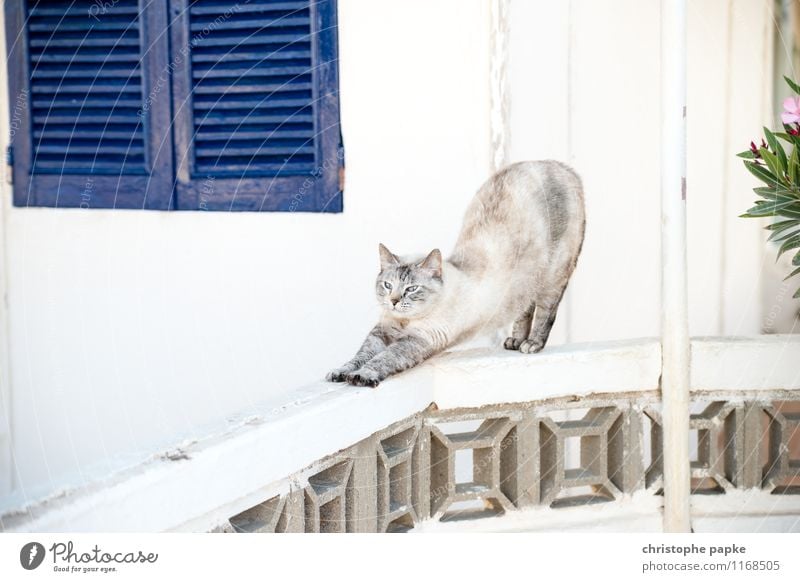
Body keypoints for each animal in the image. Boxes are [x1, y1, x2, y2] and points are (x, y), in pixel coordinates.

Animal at [326, 160, 588, 388]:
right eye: (388, 285)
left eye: (411, 289)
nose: (393, 301)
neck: (405, 321)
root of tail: (559, 166)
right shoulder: (381, 333)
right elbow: (359, 356)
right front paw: (341, 372)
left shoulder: (417, 339)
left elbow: (382, 359)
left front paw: (363, 376)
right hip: (526, 283)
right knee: (525, 309)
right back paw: (515, 341)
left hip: (552, 277)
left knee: (545, 312)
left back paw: (531, 344)